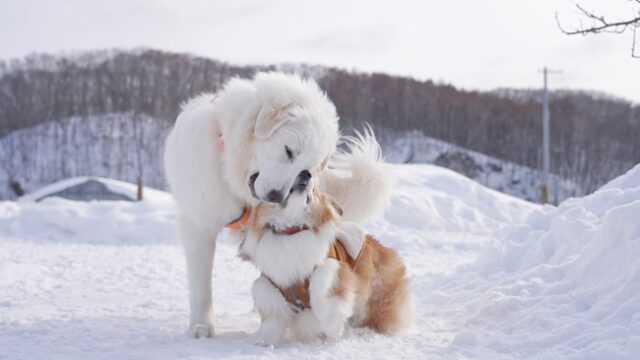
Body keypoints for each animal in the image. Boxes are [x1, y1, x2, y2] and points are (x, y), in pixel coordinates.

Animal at [164, 73, 396, 338]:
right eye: (288, 151)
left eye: (308, 168)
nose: (276, 196)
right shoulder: (199, 224)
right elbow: (201, 282)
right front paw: (201, 325)